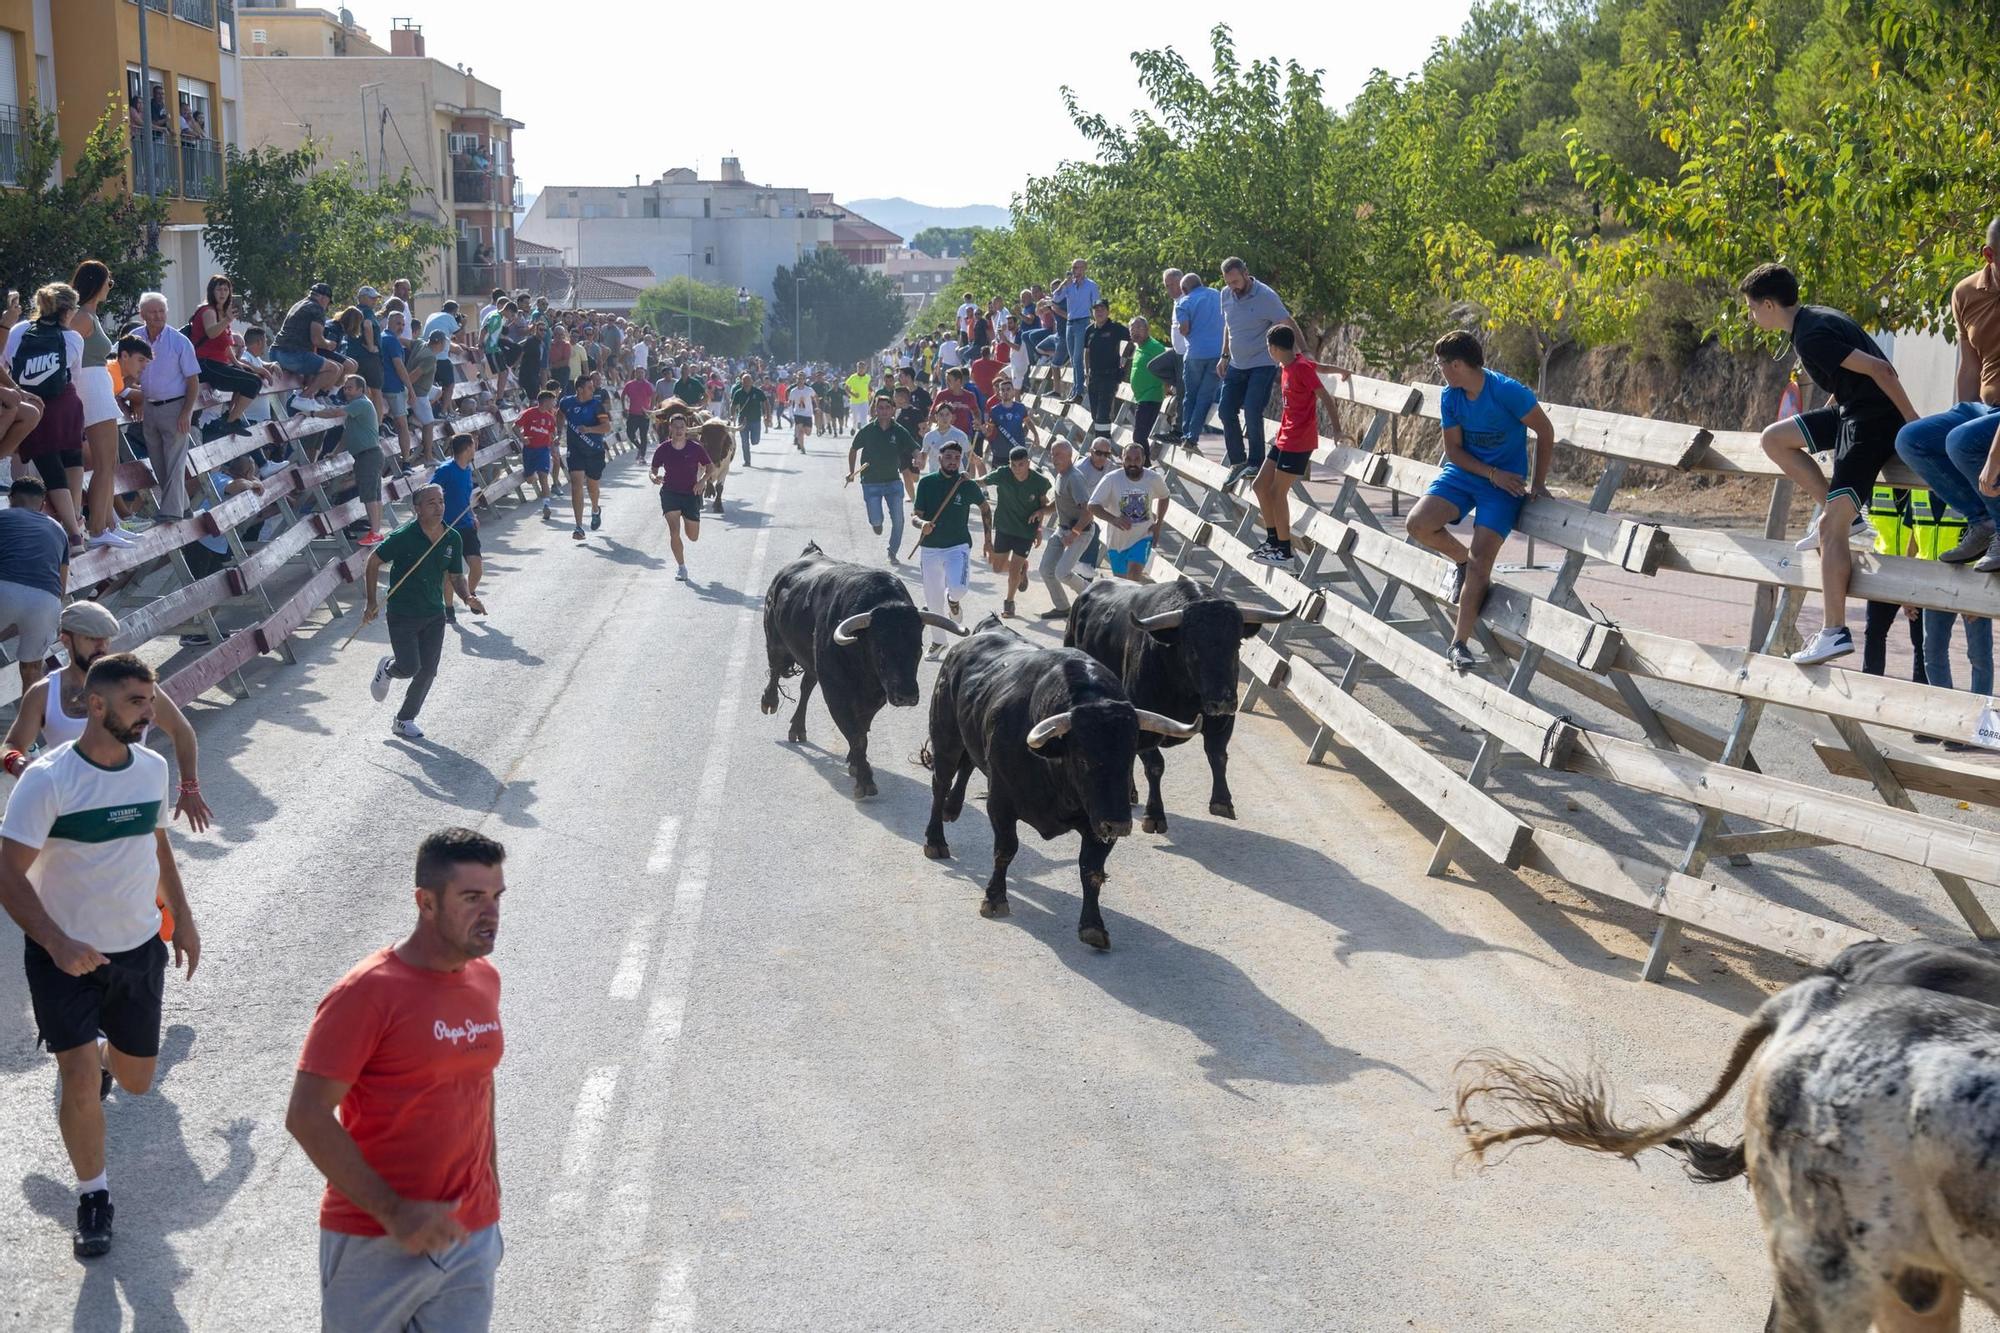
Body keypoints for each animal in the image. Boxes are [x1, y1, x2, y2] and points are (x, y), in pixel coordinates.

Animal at [756, 536, 960, 792]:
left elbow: (861, 730)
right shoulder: (835, 691)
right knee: (775, 668)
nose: (906, 696)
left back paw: (797, 728)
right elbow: (856, 734)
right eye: (880, 650)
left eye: (918, 649)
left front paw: (855, 762)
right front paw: (864, 779)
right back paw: (769, 702)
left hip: (812, 662)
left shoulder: (876, 696)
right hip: (775, 639)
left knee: (806, 685)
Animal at [916, 612, 1184, 944]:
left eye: (1129, 756)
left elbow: (1091, 869)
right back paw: (936, 839)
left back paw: (952, 810)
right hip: (946, 738)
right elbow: (1005, 850)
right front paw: (994, 899)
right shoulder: (1000, 804)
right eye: (1082, 759)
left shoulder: (1097, 822)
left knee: (966, 766)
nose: (1119, 824)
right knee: (941, 783)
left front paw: (1093, 926)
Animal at [1064, 572, 1296, 824]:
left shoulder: (1223, 720)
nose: (1223, 701)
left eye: (1237, 645)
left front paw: (1222, 802)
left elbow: (1218, 755)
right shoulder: (1145, 721)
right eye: (1192, 649)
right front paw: (1154, 815)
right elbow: (1155, 765)